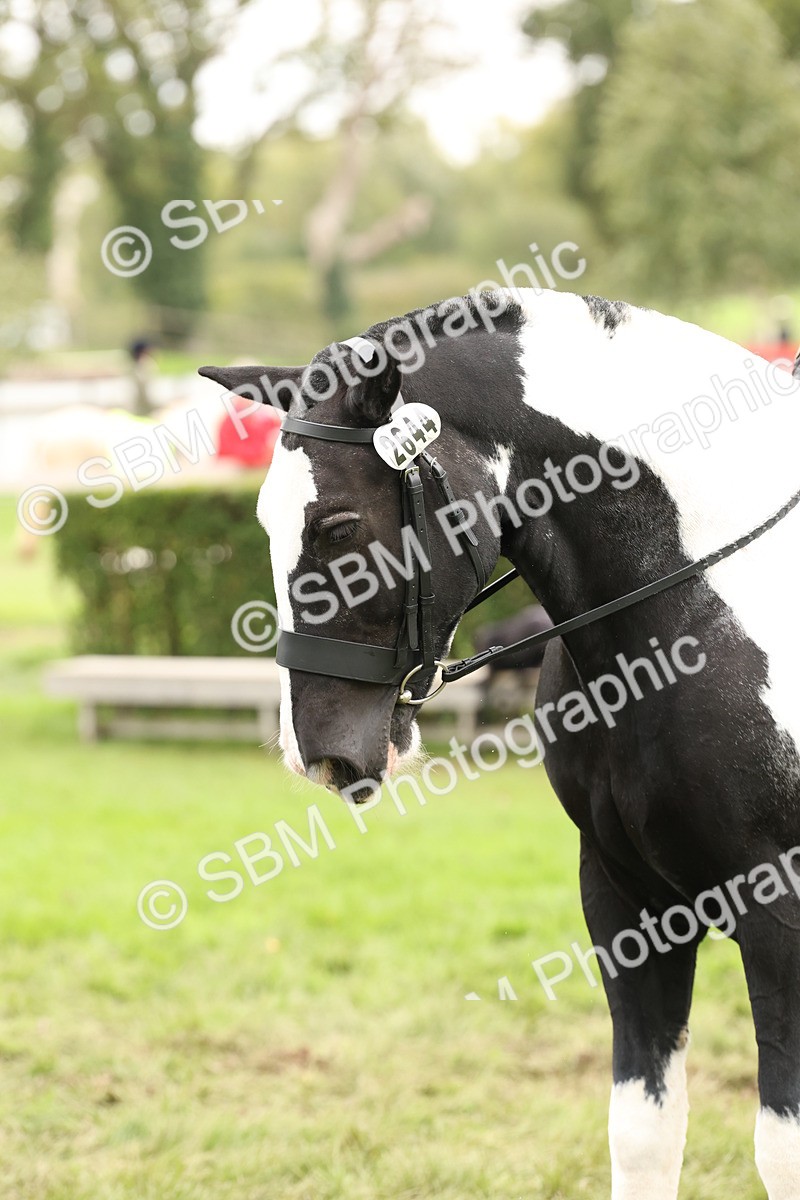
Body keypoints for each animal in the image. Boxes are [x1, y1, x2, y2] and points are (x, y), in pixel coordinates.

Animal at [199, 288, 800, 1198]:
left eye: (338, 526)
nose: (318, 754)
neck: (704, 611)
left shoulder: (780, 912)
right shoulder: (629, 900)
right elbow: (644, 1132)